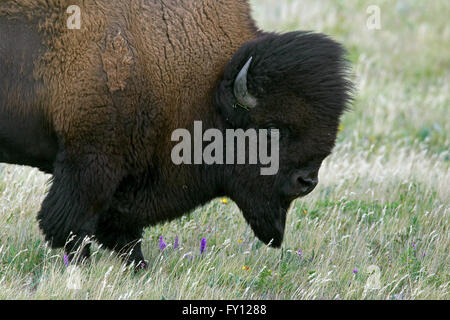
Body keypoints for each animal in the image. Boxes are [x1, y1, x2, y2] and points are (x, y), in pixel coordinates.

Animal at [0, 0, 352, 268]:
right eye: (271, 130)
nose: (307, 181)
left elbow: (122, 232)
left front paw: (137, 267)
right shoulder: (89, 162)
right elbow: (71, 226)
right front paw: (81, 267)